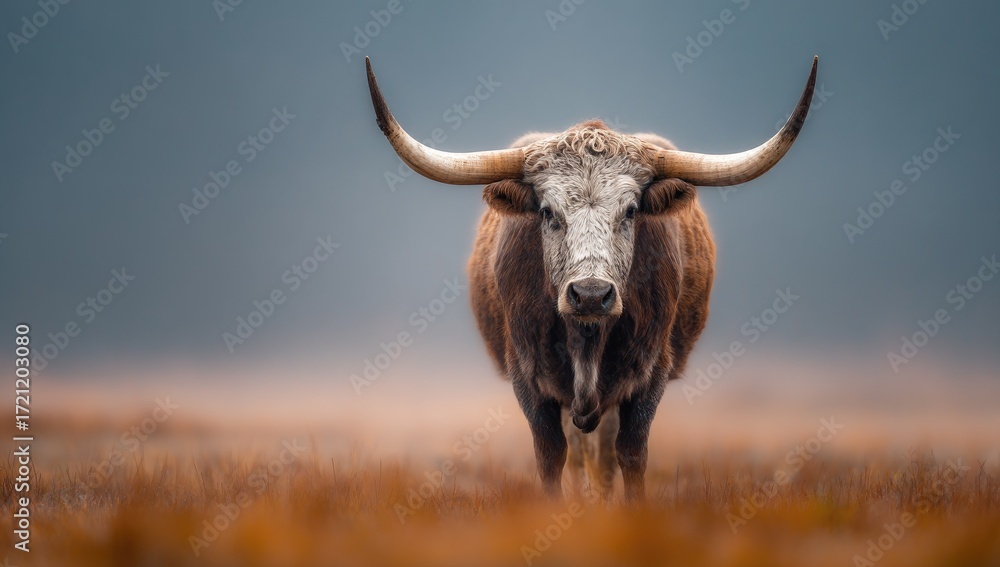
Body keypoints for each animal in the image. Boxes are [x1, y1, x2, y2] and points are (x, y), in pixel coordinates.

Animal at [365, 56, 817, 502]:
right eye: (547, 211)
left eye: (631, 210)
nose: (590, 294)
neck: (586, 337)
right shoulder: (528, 375)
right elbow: (551, 455)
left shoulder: (650, 372)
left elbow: (630, 454)